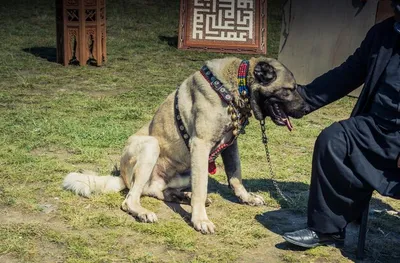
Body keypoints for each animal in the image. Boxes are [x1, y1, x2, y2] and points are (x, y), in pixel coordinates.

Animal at [63, 57, 310, 235]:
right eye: (290, 89)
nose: (307, 108)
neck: (234, 88)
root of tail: (122, 178)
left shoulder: (231, 144)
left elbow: (235, 175)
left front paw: (246, 197)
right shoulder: (200, 145)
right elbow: (202, 188)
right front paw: (200, 220)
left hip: (185, 169)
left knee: (156, 191)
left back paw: (183, 196)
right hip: (152, 146)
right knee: (131, 198)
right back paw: (145, 211)